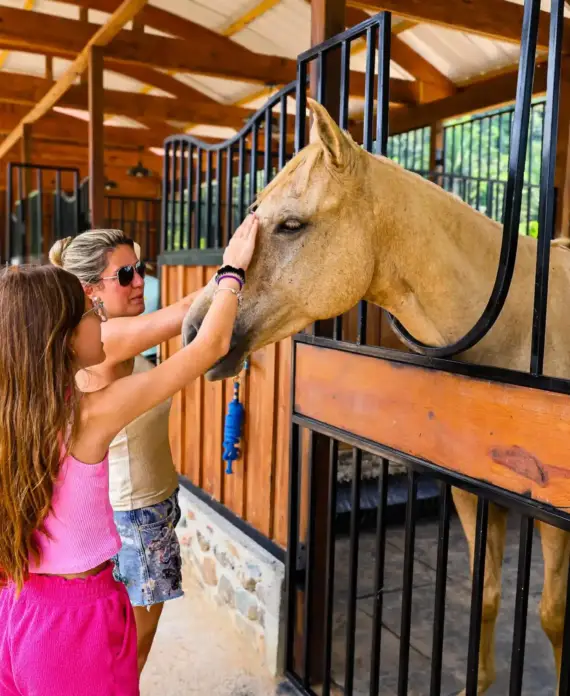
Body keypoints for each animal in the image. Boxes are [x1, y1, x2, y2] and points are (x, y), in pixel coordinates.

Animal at [182, 98, 570, 693]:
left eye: (292, 224)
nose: (193, 330)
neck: (520, 322)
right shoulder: (470, 492)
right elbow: (486, 593)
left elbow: (550, 614)